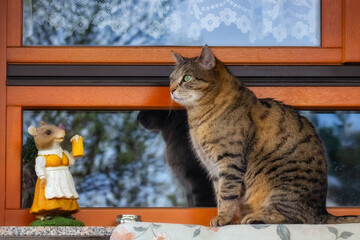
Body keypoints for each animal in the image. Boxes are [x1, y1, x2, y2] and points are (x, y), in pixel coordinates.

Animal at [169, 46, 360, 226]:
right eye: (171, 78)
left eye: (187, 78)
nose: (171, 89)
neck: (198, 116)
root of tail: (322, 211)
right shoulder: (214, 168)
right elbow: (219, 194)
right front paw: (226, 218)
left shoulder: (229, 161)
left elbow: (227, 195)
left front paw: (222, 218)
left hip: (280, 185)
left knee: (294, 218)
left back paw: (253, 217)